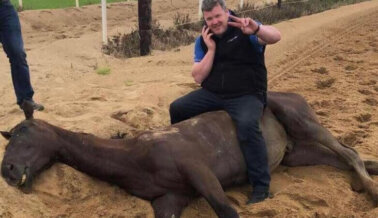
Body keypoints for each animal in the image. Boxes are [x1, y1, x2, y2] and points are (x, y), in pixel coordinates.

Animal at [0, 91, 378, 217]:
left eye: (23, 134)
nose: (8, 170)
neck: (135, 156)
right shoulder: (169, 200)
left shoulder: (201, 173)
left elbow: (227, 210)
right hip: (295, 153)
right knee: (344, 157)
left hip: (301, 120)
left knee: (348, 152)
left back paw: (371, 192)